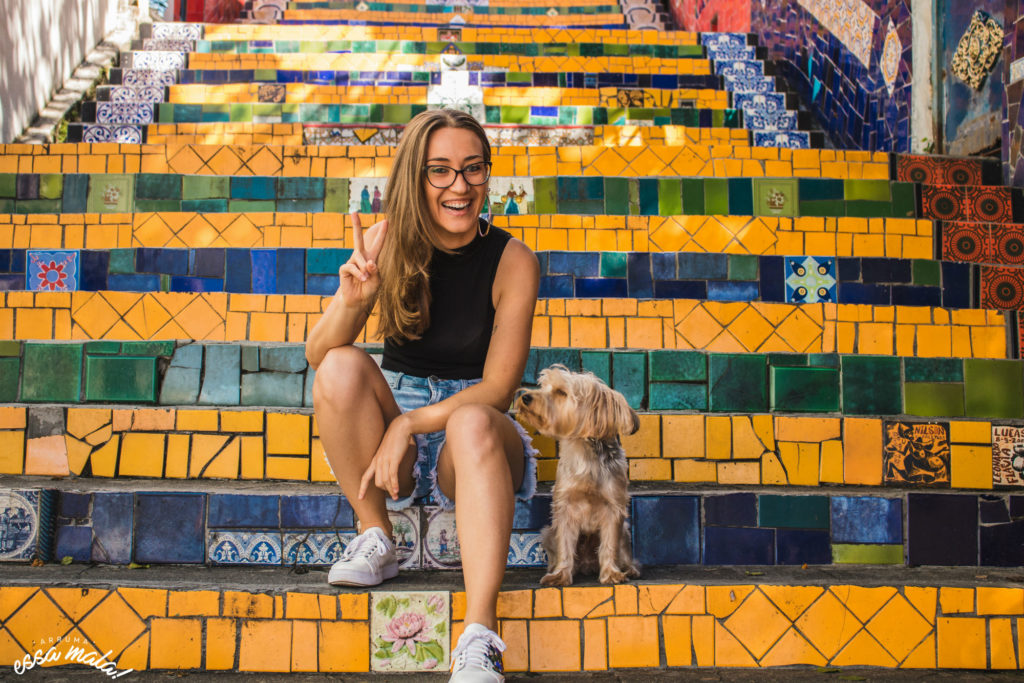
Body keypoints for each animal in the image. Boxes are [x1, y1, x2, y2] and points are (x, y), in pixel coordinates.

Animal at [520, 366, 638, 585]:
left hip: (625, 532)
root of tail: (587, 564)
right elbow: (565, 546)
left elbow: (609, 544)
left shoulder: (614, 507)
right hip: (548, 532)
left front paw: (611, 573)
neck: (583, 449)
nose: (525, 397)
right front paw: (560, 574)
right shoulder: (564, 506)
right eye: (543, 386)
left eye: (561, 392)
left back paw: (629, 569)